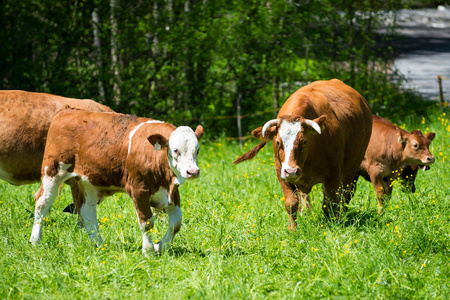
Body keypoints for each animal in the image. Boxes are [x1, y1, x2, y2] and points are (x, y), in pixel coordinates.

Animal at [29, 109, 202, 254]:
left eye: (197, 150)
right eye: (176, 150)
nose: (193, 172)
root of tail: (66, 110)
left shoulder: (172, 192)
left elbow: (176, 222)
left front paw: (159, 246)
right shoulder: (138, 190)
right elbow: (147, 222)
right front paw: (148, 251)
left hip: (88, 182)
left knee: (86, 211)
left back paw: (98, 244)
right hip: (52, 172)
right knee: (42, 203)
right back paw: (35, 241)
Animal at [234, 79, 370, 227]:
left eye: (304, 141)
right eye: (278, 142)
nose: (291, 171)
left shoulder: (333, 175)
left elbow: (330, 203)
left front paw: (330, 225)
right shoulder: (281, 172)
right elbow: (291, 203)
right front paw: (293, 228)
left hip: (352, 167)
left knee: (346, 194)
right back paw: (305, 213)